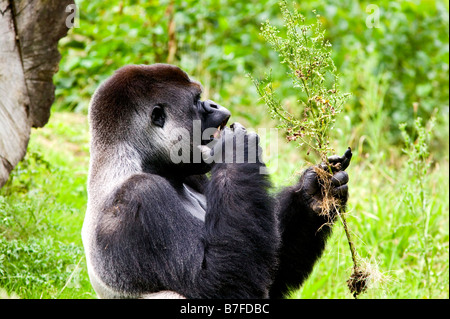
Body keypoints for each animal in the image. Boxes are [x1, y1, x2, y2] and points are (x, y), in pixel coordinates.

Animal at [82, 64, 354, 300]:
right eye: (196, 100)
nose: (213, 104)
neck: (132, 157)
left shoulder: (194, 173)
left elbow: (271, 272)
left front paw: (315, 192)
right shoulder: (140, 195)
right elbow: (216, 284)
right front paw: (237, 148)